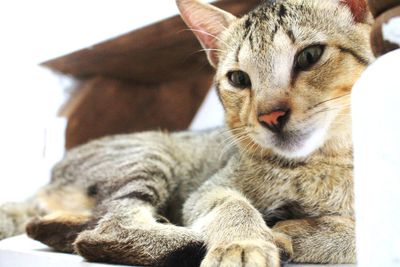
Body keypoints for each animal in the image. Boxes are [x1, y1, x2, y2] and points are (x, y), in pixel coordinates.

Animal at [0, 0, 376, 266]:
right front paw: (245, 242)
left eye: (309, 56)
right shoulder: (207, 190)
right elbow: (233, 205)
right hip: (149, 155)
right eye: (238, 79)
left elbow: (358, 234)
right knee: (105, 231)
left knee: (75, 226)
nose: (271, 115)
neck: (319, 166)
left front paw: (298, 231)